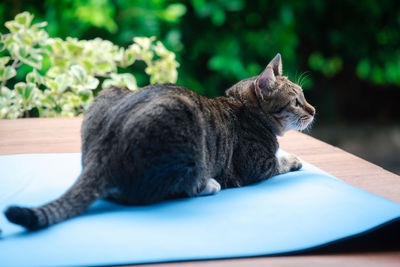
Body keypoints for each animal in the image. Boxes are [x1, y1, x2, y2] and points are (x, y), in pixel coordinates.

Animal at [3, 54, 316, 230]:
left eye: (304, 97)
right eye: (296, 101)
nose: (313, 110)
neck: (243, 106)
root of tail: (102, 154)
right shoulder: (257, 166)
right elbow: (280, 160)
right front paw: (294, 158)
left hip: (109, 92)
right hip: (186, 137)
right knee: (159, 192)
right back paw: (208, 185)